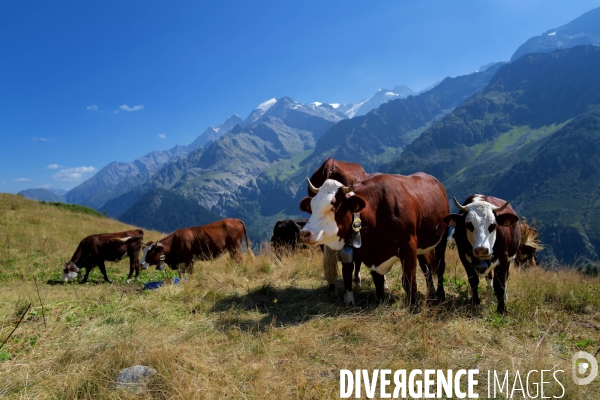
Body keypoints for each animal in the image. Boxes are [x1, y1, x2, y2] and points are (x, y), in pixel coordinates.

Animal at [298, 173, 448, 310]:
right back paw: (432, 292)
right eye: (312, 206)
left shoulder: (408, 247)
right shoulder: (372, 254)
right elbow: (378, 281)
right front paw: (381, 303)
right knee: (426, 265)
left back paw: (441, 296)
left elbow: (409, 281)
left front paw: (414, 309)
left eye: (333, 207)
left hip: (442, 238)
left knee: (440, 267)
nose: (304, 233)